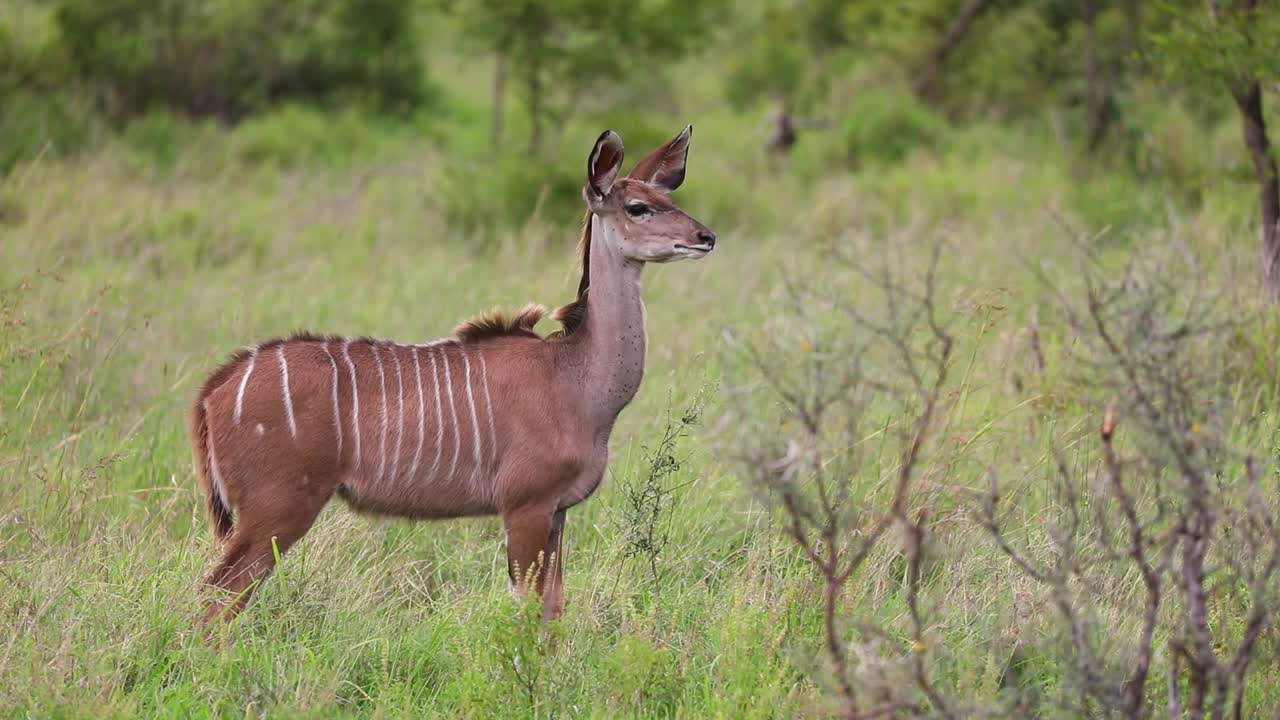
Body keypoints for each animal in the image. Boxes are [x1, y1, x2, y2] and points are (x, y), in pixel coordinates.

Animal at [189, 126, 716, 623]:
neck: (575, 377)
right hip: (276, 510)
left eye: (671, 200)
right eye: (638, 207)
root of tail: (216, 390)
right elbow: (528, 611)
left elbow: (552, 610)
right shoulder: (524, 506)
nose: (705, 237)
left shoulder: (558, 512)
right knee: (214, 602)